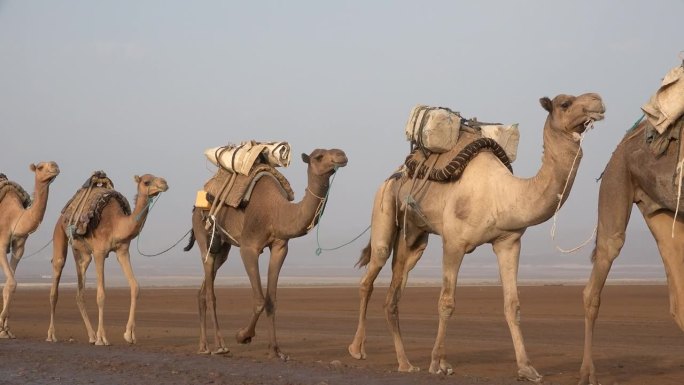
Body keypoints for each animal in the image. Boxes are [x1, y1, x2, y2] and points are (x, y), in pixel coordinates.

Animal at [0, 160, 59, 338]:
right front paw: (1, 323)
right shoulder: (1, 243)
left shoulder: (19, 247)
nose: (55, 167)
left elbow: (9, 284)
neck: (15, 218)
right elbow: (12, 282)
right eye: (40, 167)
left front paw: (6, 329)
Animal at [45, 172, 168, 344]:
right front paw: (102, 338)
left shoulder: (122, 251)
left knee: (79, 292)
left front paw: (129, 334)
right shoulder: (99, 253)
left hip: (82, 254)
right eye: (146, 181)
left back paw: (91, 335)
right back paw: (52, 335)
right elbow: (101, 294)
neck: (117, 224)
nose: (164, 183)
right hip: (59, 234)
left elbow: (135, 286)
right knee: (55, 283)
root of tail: (63, 214)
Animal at [184, 148, 348, 358]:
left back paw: (203, 346)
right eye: (319, 157)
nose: (341, 155)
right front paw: (243, 336)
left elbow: (271, 300)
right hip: (203, 233)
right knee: (210, 288)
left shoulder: (280, 247)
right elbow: (260, 300)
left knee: (203, 290)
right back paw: (220, 345)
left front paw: (276, 350)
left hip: (222, 247)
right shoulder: (249, 248)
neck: (277, 212)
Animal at [350, 93, 608, 380]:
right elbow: (446, 302)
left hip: (414, 237)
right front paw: (439, 363)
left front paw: (527, 368)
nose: (597, 100)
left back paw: (405, 363)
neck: (502, 194)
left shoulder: (509, 242)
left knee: (393, 295)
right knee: (370, 275)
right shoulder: (454, 242)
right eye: (565, 103)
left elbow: (512, 305)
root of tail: (393, 176)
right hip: (383, 208)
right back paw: (357, 349)